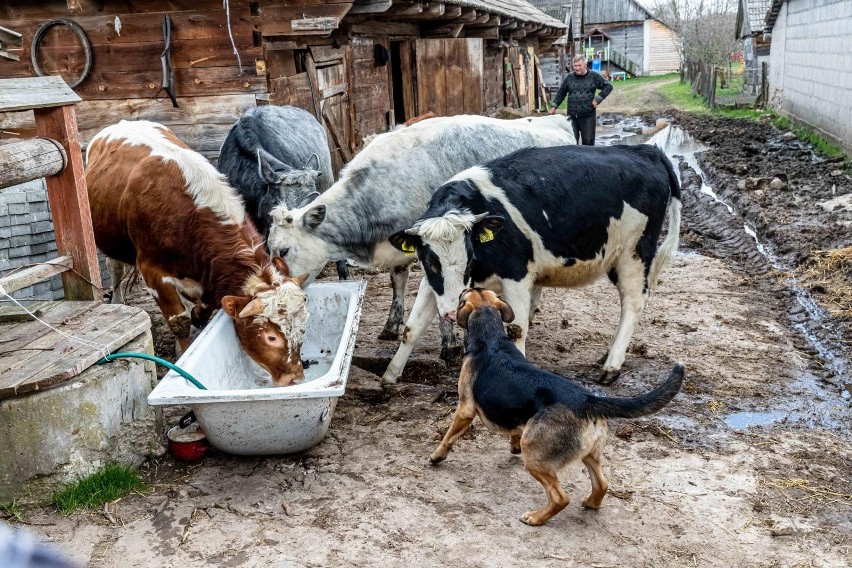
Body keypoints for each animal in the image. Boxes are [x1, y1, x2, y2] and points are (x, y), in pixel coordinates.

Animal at [83, 120, 308, 386]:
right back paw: (117, 300)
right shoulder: (153, 272)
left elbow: (201, 313)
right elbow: (179, 321)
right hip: (109, 240)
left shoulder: (209, 279)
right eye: (271, 337)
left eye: (304, 327)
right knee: (114, 267)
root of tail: (123, 123)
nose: (295, 378)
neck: (187, 217)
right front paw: (182, 355)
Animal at [390, 142, 684, 384]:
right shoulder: (433, 284)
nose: (451, 312)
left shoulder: (516, 273)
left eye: (470, 257)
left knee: (633, 302)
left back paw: (611, 366)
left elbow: (517, 330)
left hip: (634, 253)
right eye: (430, 262)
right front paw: (390, 376)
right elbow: (411, 328)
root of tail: (645, 150)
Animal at [432, 290, 684, 524]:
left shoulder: (465, 409)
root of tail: (587, 399)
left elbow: (448, 437)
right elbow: (514, 429)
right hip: (589, 454)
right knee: (602, 484)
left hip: (534, 456)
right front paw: (512, 446)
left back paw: (536, 518)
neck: (491, 339)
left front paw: (436, 456)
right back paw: (590, 503)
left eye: (462, 295)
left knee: (560, 498)